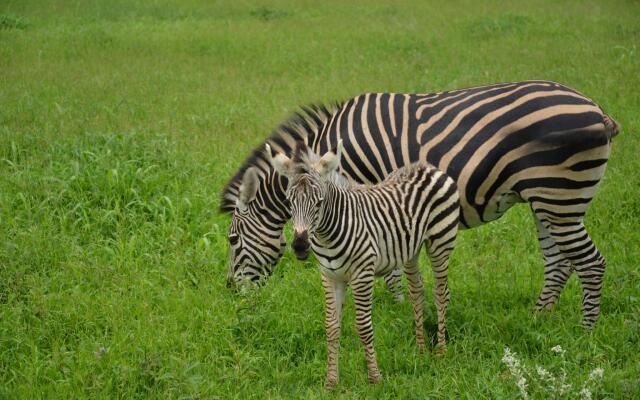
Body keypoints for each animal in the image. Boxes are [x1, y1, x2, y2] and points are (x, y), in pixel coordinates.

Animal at [224, 80, 620, 328]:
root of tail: (596, 109)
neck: (333, 152)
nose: (231, 294)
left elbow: (386, 262)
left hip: (560, 194)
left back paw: (584, 333)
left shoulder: (369, 195)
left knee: (591, 264)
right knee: (559, 263)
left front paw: (397, 307)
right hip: (549, 201)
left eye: (231, 240)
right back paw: (538, 320)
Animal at [268, 141, 460, 388]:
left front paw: (375, 378)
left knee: (441, 292)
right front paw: (331, 382)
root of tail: (427, 166)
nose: (300, 246)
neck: (327, 236)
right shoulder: (330, 276)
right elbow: (331, 326)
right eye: (289, 203)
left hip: (440, 241)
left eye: (319, 202)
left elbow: (363, 326)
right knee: (417, 291)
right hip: (411, 248)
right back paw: (420, 349)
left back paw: (441, 351)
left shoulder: (363, 273)